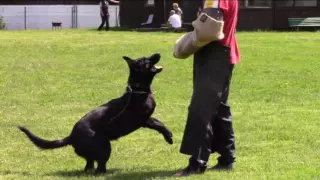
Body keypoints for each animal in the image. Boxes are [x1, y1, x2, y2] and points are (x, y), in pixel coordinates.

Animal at [17, 53, 172, 173]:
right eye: (146, 60)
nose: (158, 53)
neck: (138, 89)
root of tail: (71, 136)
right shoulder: (142, 118)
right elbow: (158, 123)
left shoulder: (147, 119)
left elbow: (159, 124)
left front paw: (169, 136)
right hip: (105, 146)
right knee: (100, 167)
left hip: (93, 153)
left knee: (89, 166)